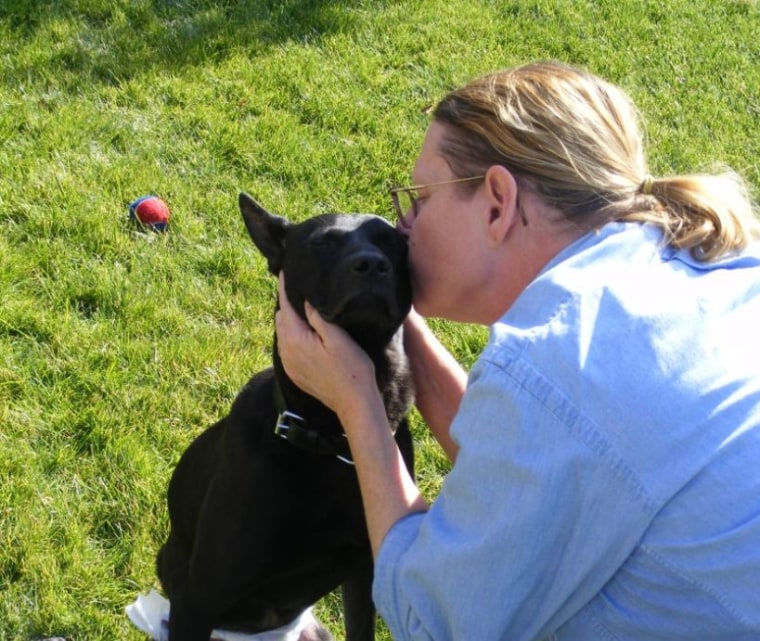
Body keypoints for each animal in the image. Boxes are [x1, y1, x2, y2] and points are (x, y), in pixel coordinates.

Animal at [155, 194, 416, 640]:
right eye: (322, 242)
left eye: (394, 244)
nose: (371, 264)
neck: (331, 439)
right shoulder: (198, 594)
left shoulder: (363, 574)